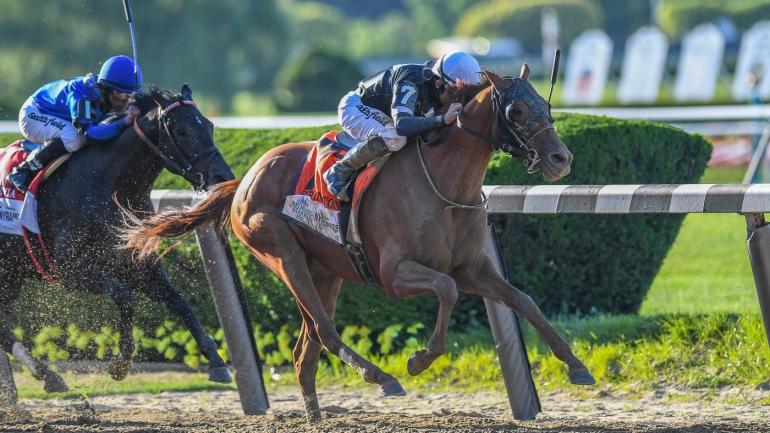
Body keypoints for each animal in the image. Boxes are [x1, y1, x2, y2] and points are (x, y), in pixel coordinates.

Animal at [0, 85, 235, 393]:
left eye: (209, 125)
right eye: (181, 130)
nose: (223, 177)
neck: (108, 186)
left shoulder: (136, 266)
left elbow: (179, 301)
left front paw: (217, 362)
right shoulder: (69, 269)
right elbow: (125, 297)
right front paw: (120, 363)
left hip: (11, 276)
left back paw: (49, 375)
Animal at [123, 68, 595, 422]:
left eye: (546, 104)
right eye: (516, 108)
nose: (561, 159)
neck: (444, 184)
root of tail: (245, 178)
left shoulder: (473, 270)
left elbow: (523, 300)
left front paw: (576, 366)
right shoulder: (394, 275)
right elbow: (446, 291)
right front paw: (418, 360)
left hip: (324, 272)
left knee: (305, 349)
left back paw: (316, 415)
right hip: (283, 255)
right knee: (325, 333)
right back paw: (383, 377)